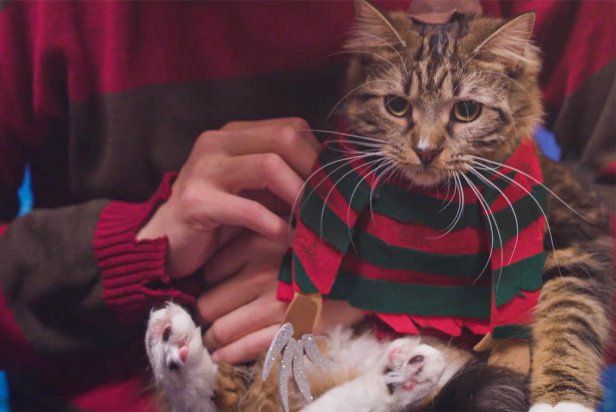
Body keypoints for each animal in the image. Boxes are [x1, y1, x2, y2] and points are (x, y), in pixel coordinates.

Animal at [144, 1, 612, 410]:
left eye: (466, 111)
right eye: (397, 106)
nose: (425, 150)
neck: (434, 208)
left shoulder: (574, 241)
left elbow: (567, 320)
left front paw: (561, 400)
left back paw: (406, 373)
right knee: (218, 401)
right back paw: (174, 343)